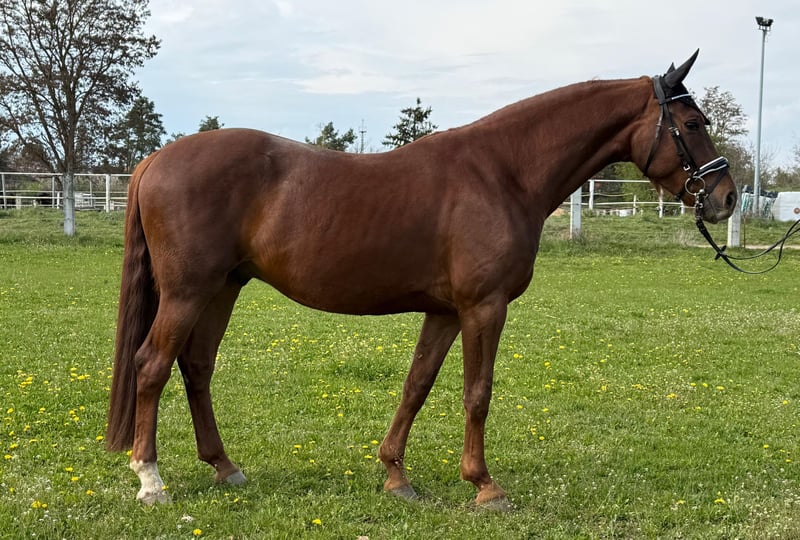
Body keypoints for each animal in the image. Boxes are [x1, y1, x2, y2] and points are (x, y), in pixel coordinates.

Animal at [106, 51, 737, 509]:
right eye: (692, 122)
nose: (726, 198)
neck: (502, 171)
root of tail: (155, 160)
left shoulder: (446, 311)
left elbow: (417, 385)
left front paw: (396, 476)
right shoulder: (484, 306)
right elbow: (477, 393)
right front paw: (484, 485)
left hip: (222, 289)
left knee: (196, 367)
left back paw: (225, 467)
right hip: (188, 292)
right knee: (152, 366)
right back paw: (151, 480)